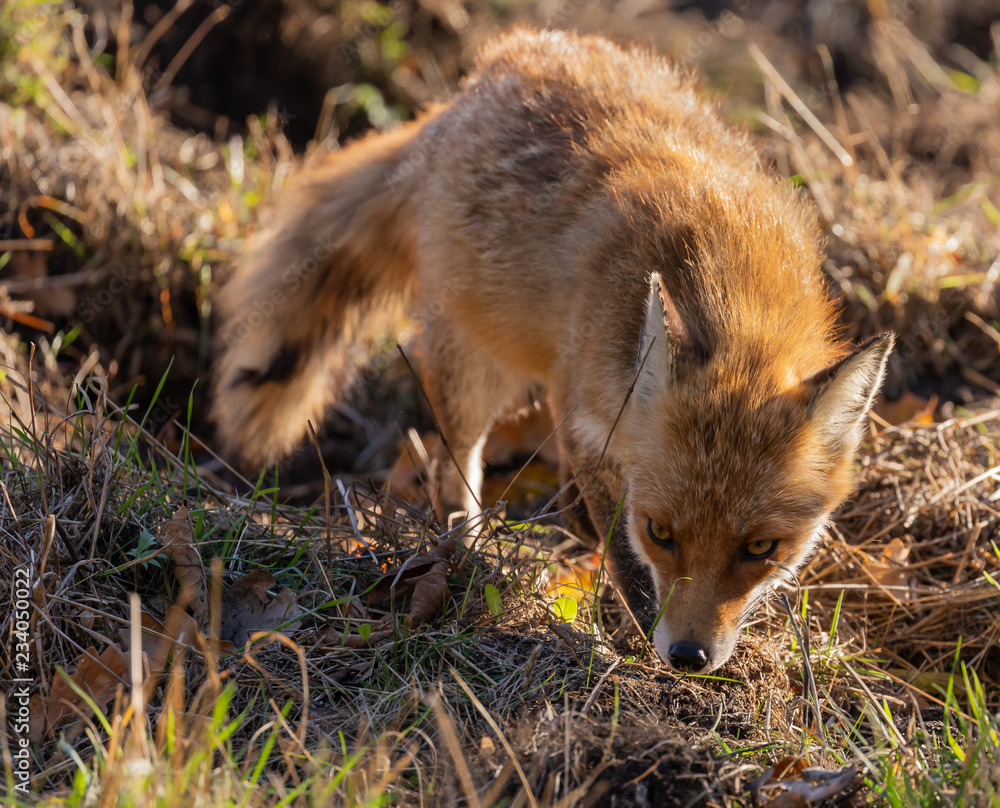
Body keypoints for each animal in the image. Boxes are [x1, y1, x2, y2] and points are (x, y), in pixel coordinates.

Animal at [212, 28, 893, 673]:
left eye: (760, 548)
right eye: (661, 533)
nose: (689, 657)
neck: (729, 290)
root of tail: (473, 82)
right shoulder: (588, 420)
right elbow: (625, 561)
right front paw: (630, 644)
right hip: (472, 368)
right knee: (458, 465)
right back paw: (468, 549)